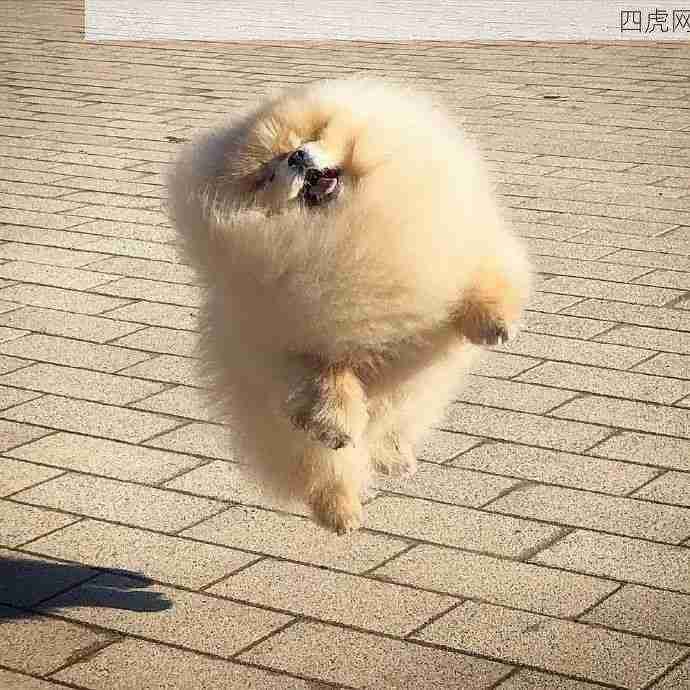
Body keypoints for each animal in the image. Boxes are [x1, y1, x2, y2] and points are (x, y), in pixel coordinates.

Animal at [168, 78, 531, 534]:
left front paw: (495, 325)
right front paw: (338, 424)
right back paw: (341, 512)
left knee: (393, 426)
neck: (346, 228)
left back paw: (396, 458)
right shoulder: (289, 340)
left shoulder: (453, 249)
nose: (296, 157)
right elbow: (327, 378)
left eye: (313, 135)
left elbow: (483, 281)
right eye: (266, 173)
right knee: (328, 468)